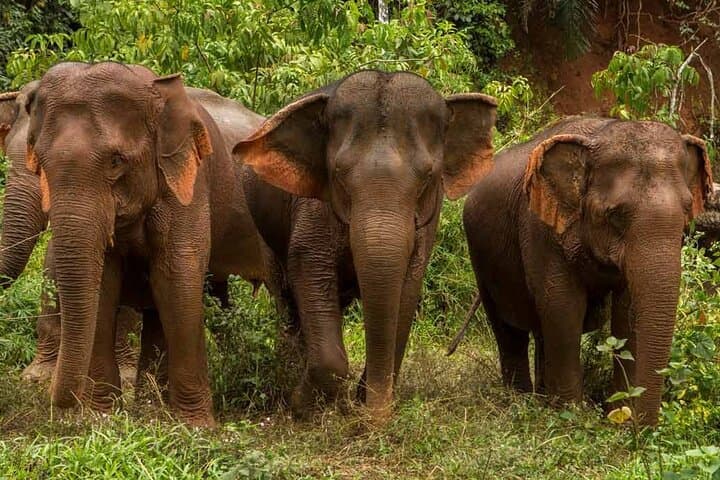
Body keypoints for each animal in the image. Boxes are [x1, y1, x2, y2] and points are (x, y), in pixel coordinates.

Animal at [22, 62, 269, 426]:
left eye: (116, 161)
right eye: (40, 162)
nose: (55, 400)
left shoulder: (190, 182)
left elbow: (176, 281)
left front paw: (196, 426)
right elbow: (105, 284)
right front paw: (102, 418)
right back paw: (149, 406)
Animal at [233, 70, 498, 422]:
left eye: (428, 176)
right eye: (338, 173)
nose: (375, 418)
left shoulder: (428, 222)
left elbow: (408, 287)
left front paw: (360, 402)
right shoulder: (312, 207)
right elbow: (308, 267)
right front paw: (302, 405)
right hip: (265, 237)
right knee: (287, 299)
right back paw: (288, 374)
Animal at [453, 116, 712, 425]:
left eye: (687, 210)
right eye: (615, 214)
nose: (640, 428)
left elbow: (627, 313)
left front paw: (617, 414)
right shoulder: (540, 228)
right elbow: (563, 306)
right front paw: (574, 416)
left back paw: (542, 399)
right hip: (481, 259)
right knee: (508, 329)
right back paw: (521, 401)